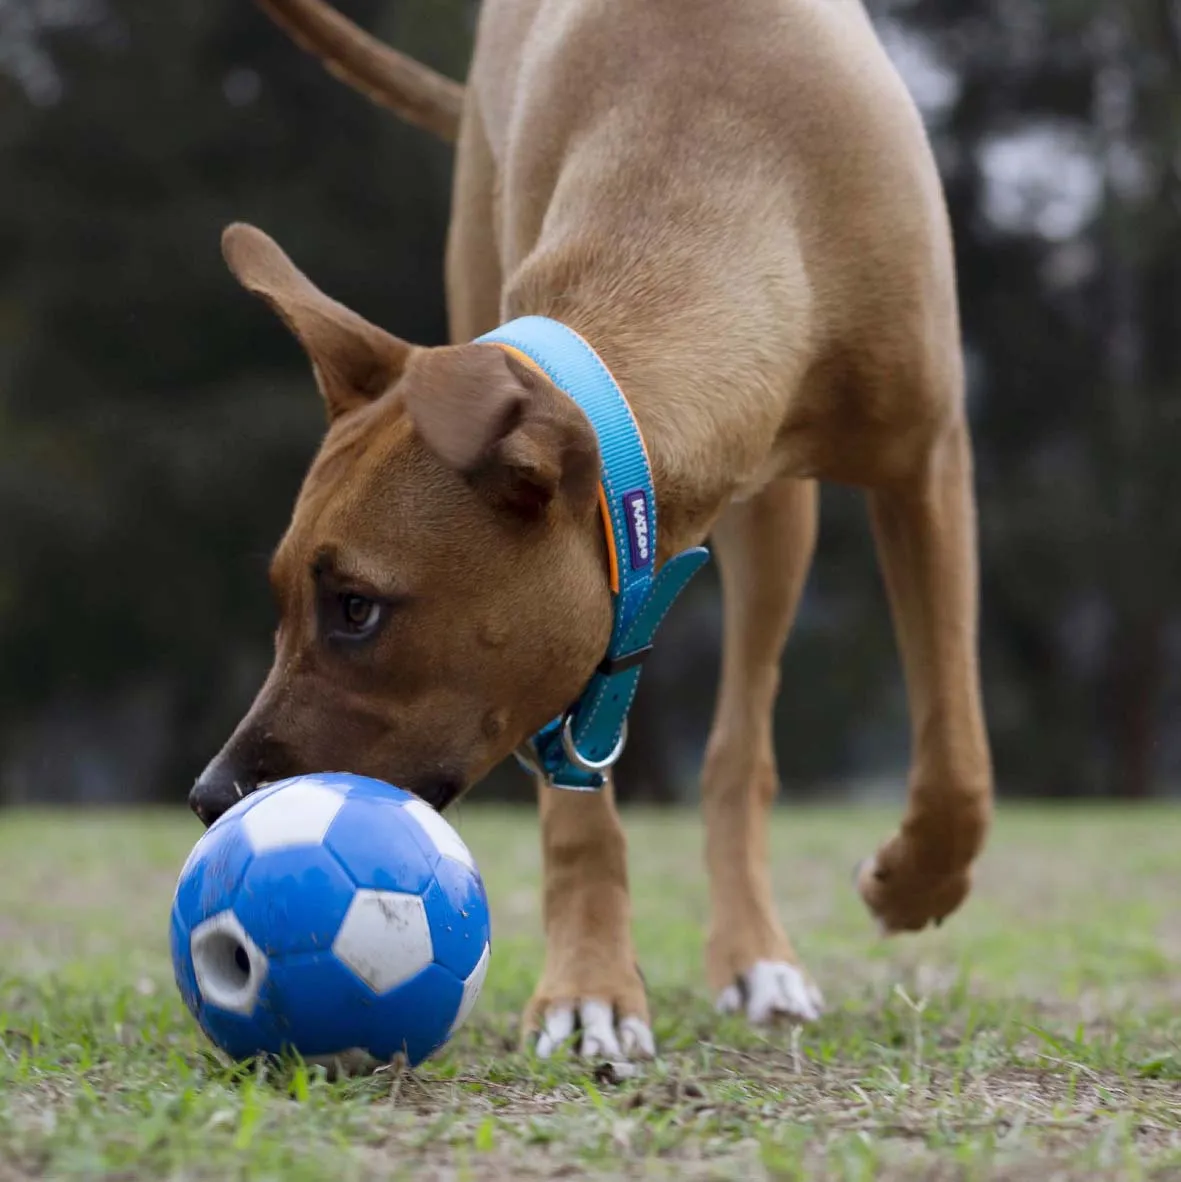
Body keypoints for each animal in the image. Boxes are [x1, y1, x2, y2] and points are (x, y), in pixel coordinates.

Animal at [189, 0, 993, 1063]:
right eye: (281, 600)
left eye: (357, 608)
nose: (211, 798)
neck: (723, 160)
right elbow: (576, 817)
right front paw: (590, 990)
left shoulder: (927, 462)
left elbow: (955, 757)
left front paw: (912, 884)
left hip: (781, 520)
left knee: (741, 744)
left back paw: (756, 956)